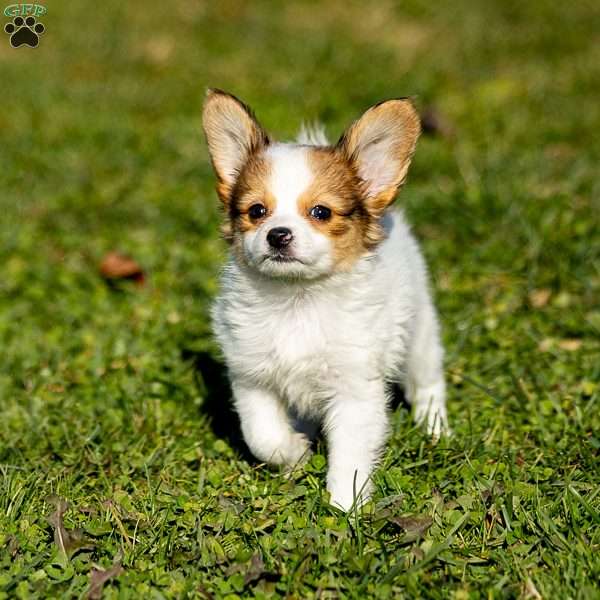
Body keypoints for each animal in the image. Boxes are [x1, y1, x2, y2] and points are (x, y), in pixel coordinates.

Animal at [204, 90, 448, 510]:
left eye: (321, 212)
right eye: (257, 211)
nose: (278, 235)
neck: (298, 301)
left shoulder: (355, 390)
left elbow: (349, 454)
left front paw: (344, 506)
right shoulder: (252, 378)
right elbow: (262, 435)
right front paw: (294, 455)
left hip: (419, 333)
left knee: (427, 381)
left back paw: (437, 429)